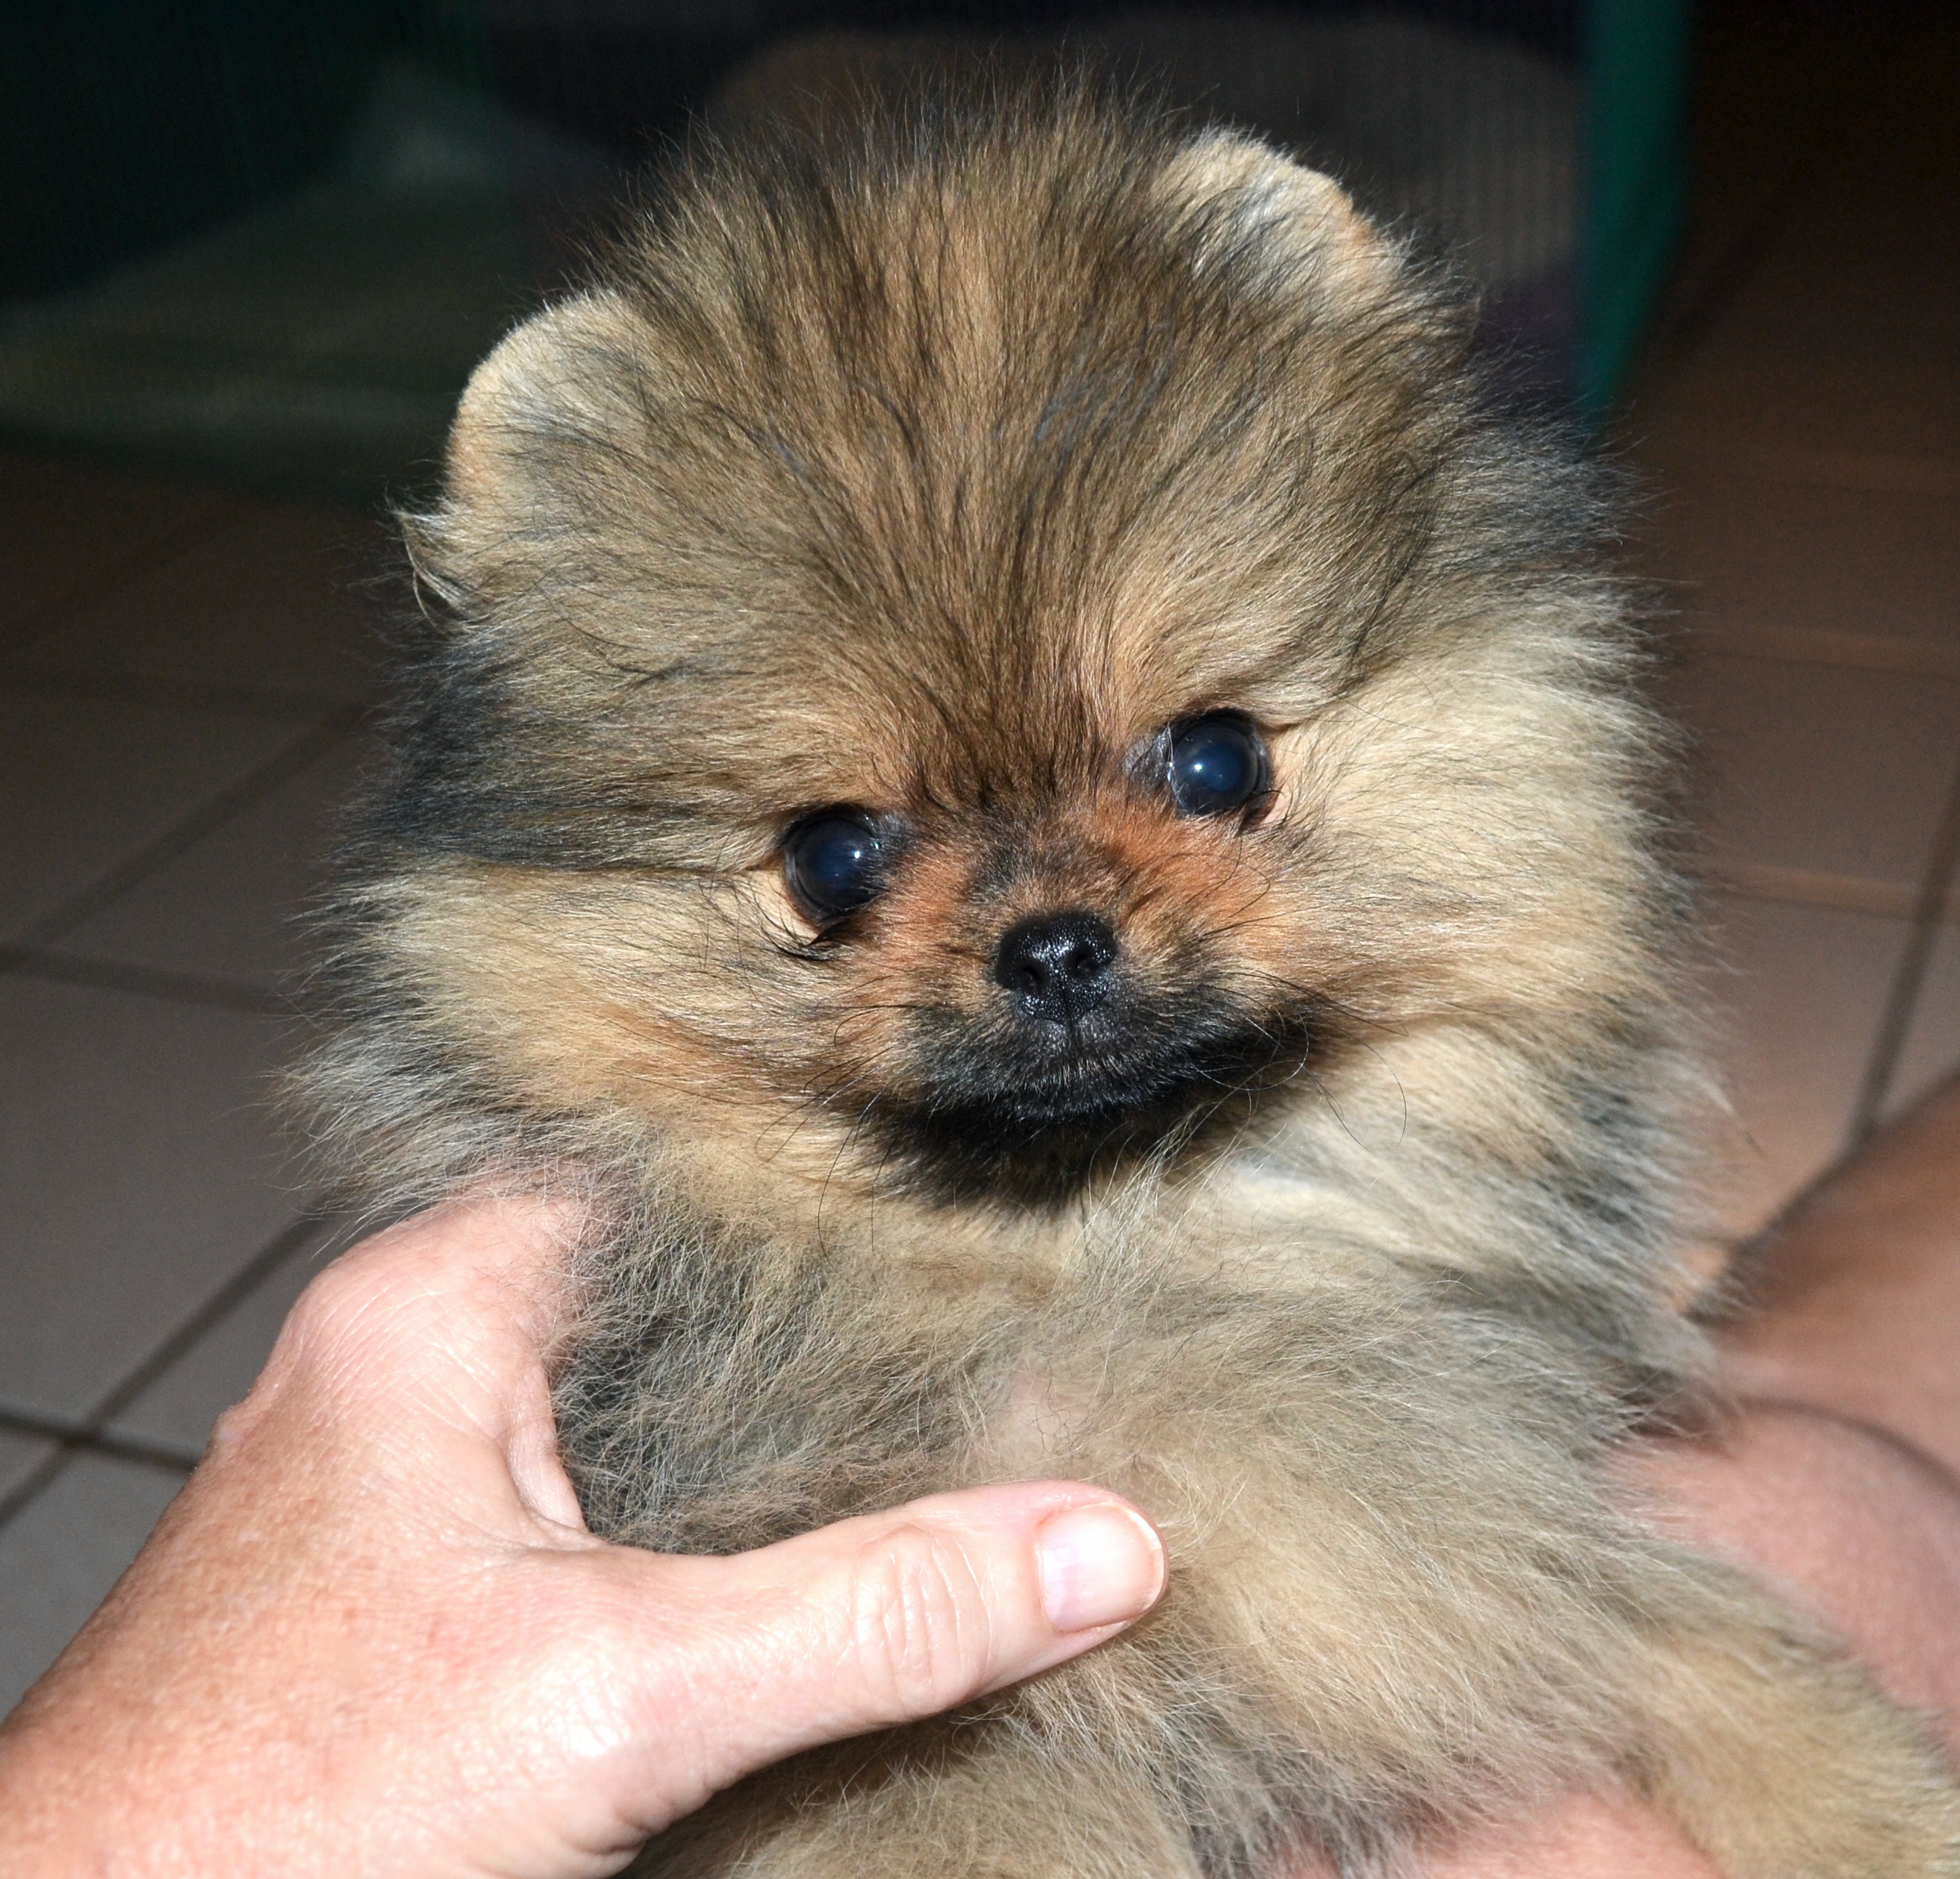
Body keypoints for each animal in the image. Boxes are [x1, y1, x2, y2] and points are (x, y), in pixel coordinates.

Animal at [301, 86, 1960, 1877]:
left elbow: (1698, 1639)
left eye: (1217, 756)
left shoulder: (1501, 1524)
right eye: (831, 860)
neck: (1123, 1247)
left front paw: (1879, 1803)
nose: (1053, 942)